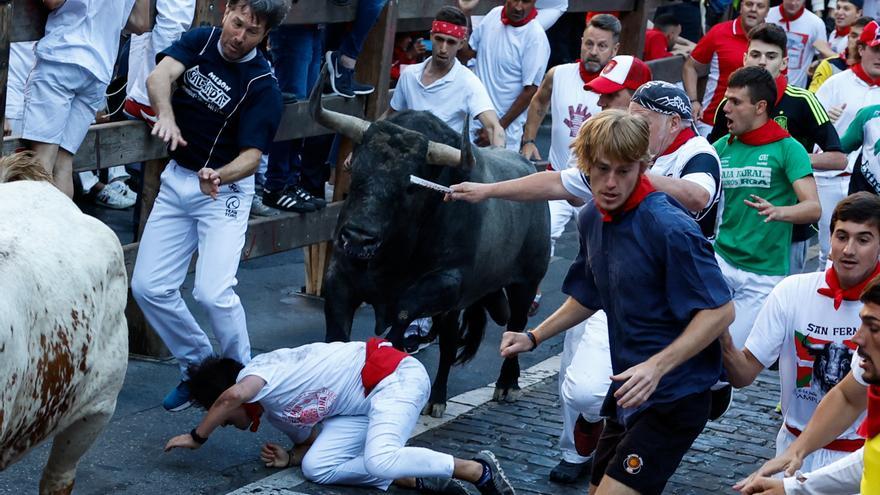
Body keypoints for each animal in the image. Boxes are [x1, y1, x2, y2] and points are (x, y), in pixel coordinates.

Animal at [312, 75, 552, 416]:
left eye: (409, 187)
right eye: (355, 170)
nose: (358, 237)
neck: (393, 257)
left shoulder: (446, 282)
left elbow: (403, 312)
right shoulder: (340, 278)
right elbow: (336, 336)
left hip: (526, 281)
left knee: (516, 328)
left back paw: (507, 384)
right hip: (456, 307)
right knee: (450, 344)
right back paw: (437, 397)